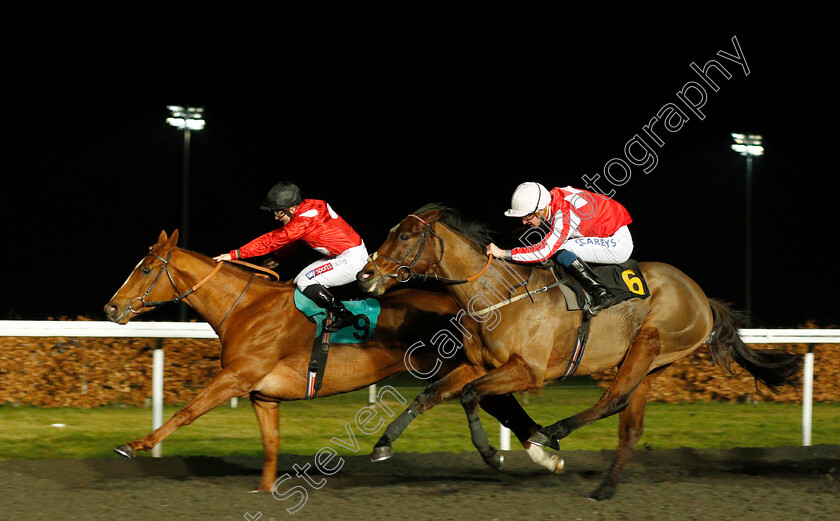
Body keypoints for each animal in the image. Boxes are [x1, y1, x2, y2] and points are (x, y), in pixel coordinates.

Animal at [105, 230, 564, 490]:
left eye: (145, 270)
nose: (111, 308)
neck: (245, 308)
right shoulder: (262, 395)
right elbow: (270, 444)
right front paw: (266, 490)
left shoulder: (236, 377)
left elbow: (186, 412)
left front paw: (133, 445)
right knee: (501, 403)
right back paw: (546, 450)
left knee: (499, 401)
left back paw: (541, 449)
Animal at [354, 204, 800, 500]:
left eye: (405, 236)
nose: (365, 275)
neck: (498, 296)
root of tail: (703, 298)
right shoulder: (478, 364)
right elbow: (431, 394)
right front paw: (383, 445)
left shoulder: (528, 371)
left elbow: (468, 396)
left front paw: (493, 453)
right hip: (650, 363)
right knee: (629, 424)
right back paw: (605, 487)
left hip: (650, 342)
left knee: (611, 400)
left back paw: (551, 433)